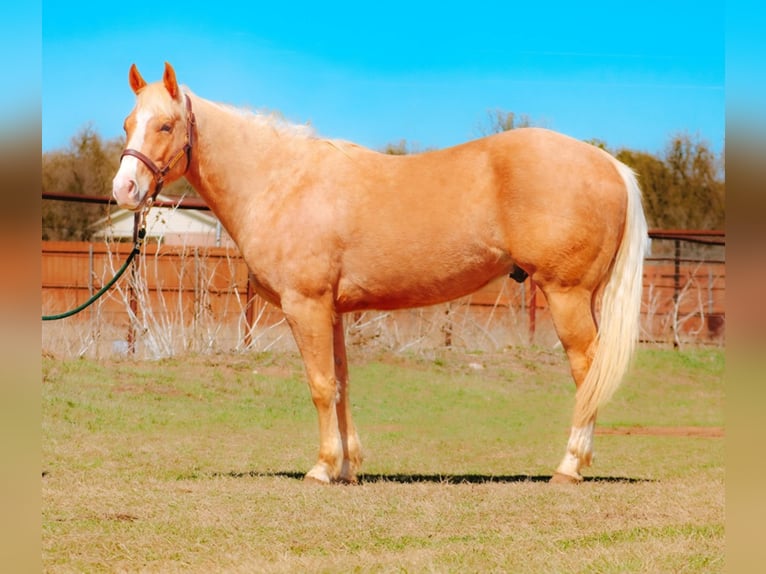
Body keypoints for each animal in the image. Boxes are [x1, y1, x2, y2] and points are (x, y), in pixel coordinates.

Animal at [114, 63, 652, 486]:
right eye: (128, 123)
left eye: (166, 125)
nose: (124, 189)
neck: (282, 181)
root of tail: (608, 164)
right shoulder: (330, 311)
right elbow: (341, 382)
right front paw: (346, 467)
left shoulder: (305, 306)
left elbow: (319, 384)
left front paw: (321, 468)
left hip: (567, 295)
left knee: (587, 371)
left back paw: (569, 466)